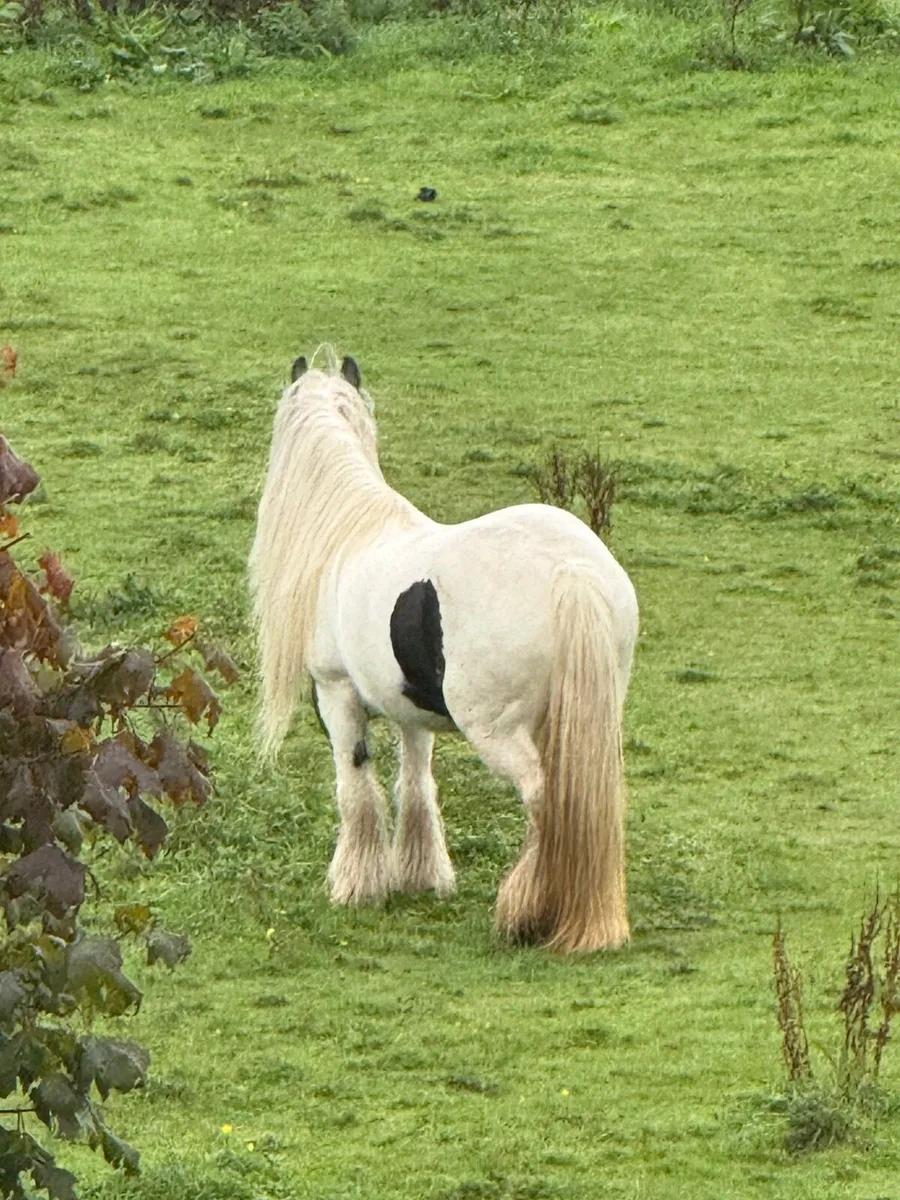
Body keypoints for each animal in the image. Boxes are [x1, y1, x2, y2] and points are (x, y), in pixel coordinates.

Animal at [250, 349, 639, 953]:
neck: (348, 537)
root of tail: (570, 573)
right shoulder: (411, 709)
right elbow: (416, 783)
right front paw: (420, 876)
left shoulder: (337, 694)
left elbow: (356, 787)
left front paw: (356, 884)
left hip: (499, 731)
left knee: (543, 799)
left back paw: (524, 912)